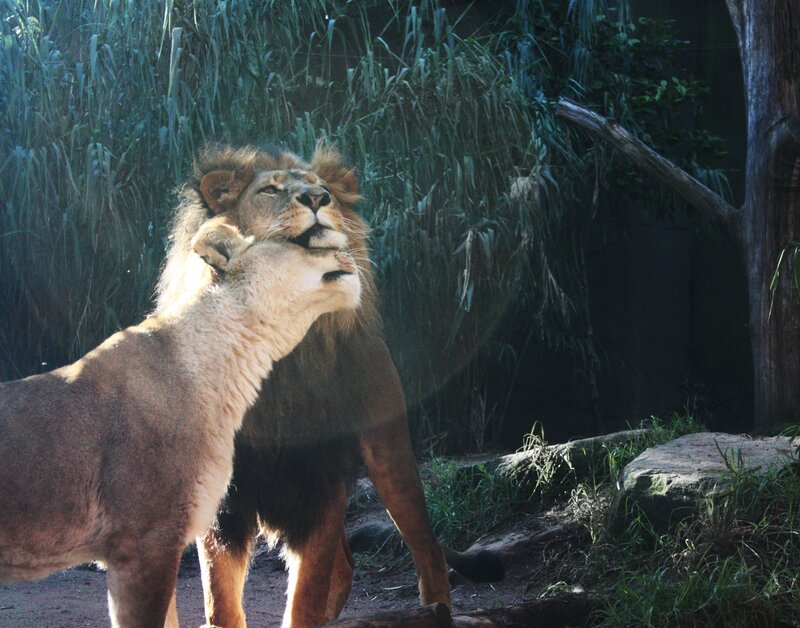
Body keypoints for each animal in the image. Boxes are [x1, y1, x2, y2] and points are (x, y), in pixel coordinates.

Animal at [156, 144, 504, 627]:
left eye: (325, 191)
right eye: (269, 190)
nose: (318, 198)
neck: (279, 360)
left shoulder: (320, 484)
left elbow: (305, 595)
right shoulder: (225, 505)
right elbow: (221, 603)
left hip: (390, 458)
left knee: (426, 548)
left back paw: (435, 610)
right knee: (348, 563)